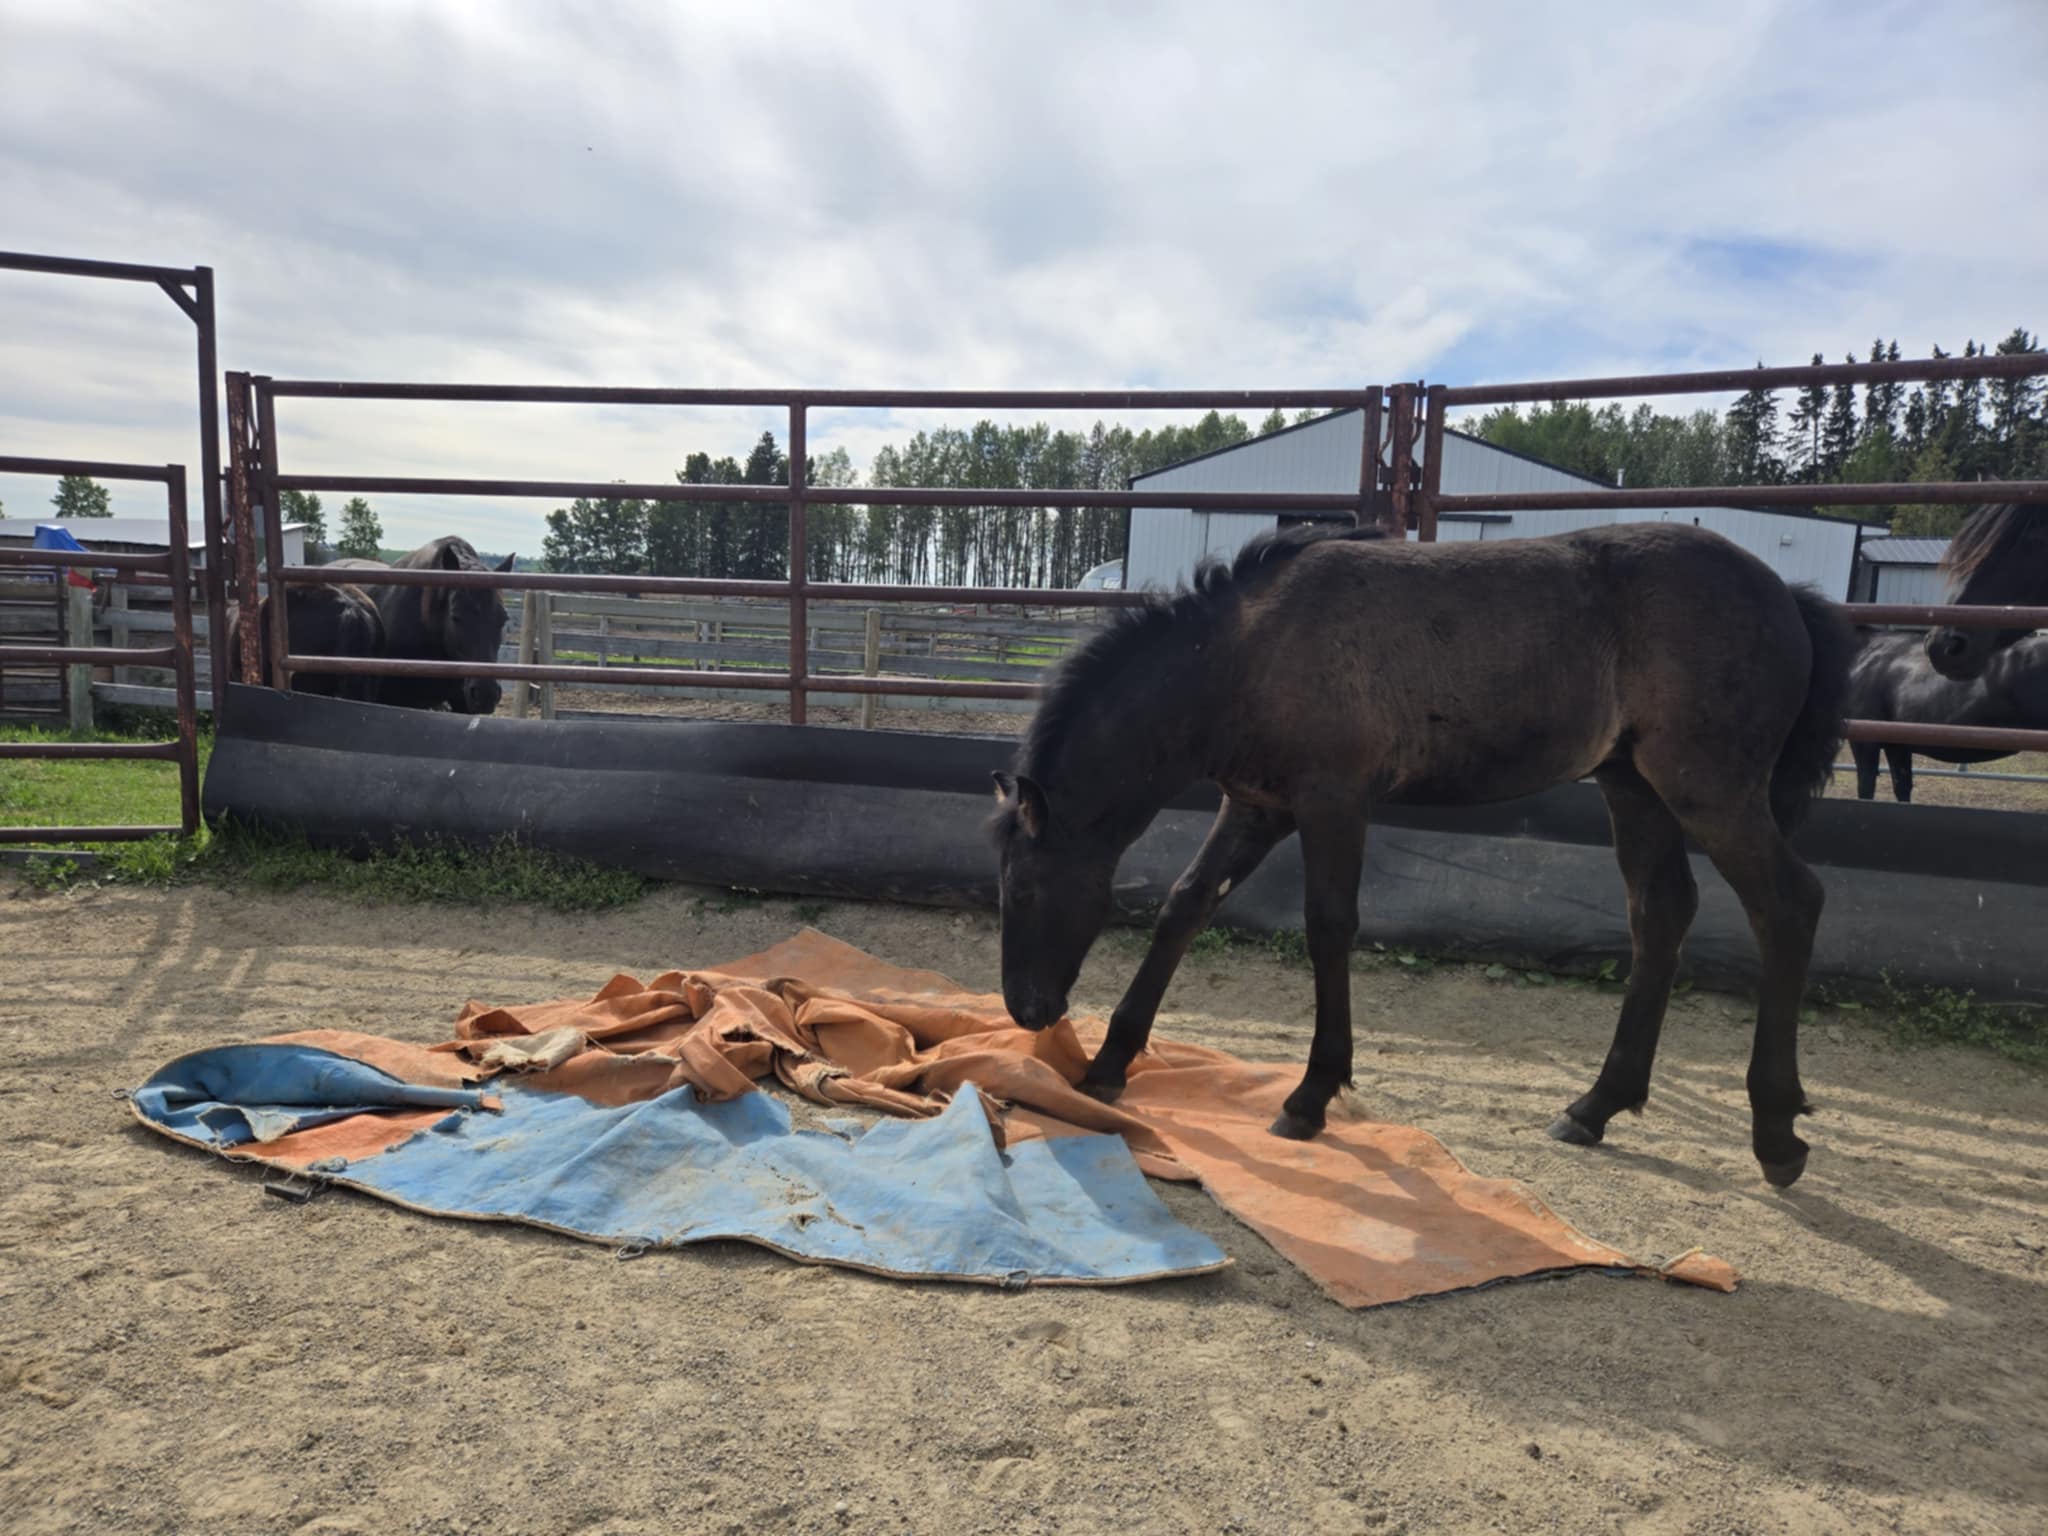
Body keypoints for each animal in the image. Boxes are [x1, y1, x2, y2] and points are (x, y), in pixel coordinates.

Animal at [989, 521, 1856, 1189]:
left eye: (1023, 892)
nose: (1027, 1010)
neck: (1244, 652)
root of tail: (1787, 595)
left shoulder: (1332, 801)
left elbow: (1328, 927)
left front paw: (1310, 1096)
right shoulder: (1257, 806)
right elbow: (1184, 905)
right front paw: (1108, 1064)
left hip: (1710, 790)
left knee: (1789, 904)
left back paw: (1777, 1133)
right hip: (1633, 787)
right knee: (1661, 915)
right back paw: (1596, 1106)